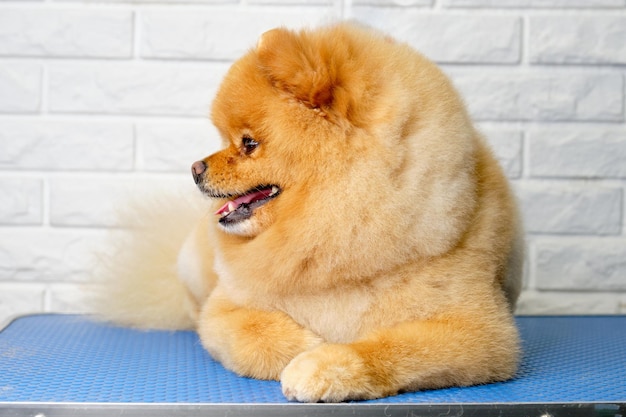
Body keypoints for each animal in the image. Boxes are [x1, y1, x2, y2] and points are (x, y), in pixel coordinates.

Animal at [97, 22, 524, 400]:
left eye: (248, 143)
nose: (194, 168)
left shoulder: (480, 330)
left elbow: (391, 346)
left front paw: (323, 363)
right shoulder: (225, 308)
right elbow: (253, 332)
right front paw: (307, 346)